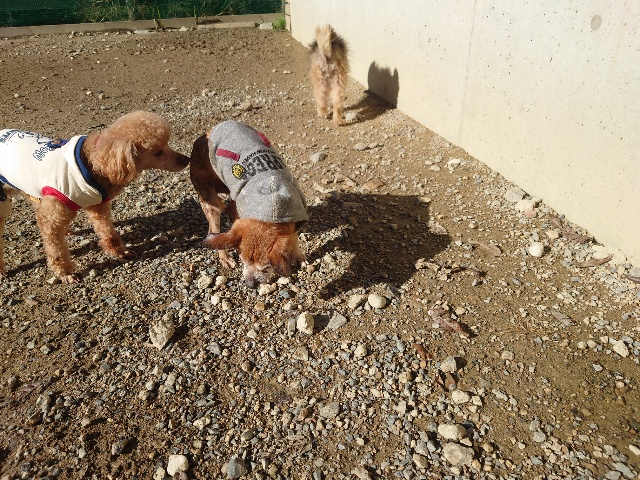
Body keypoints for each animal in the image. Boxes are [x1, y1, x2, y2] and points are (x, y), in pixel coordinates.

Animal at [0, 111, 190, 283]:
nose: (186, 159)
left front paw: (119, 251)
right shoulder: (50, 220)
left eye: (167, 144)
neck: (95, 163)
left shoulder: (97, 205)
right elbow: (56, 249)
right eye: (157, 152)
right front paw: (65, 273)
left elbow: (107, 231)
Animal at [190, 120, 308, 288]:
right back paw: (224, 257)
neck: (270, 207)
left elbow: (294, 237)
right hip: (208, 197)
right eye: (242, 260)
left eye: (266, 267)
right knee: (214, 226)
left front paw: (298, 256)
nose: (250, 284)